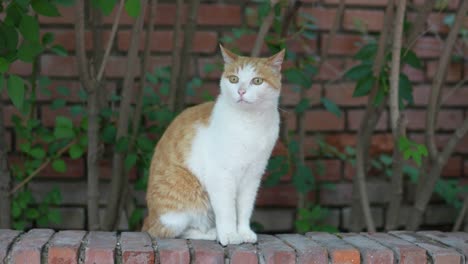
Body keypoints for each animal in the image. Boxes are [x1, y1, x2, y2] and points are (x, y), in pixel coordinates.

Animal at [141, 44, 284, 244]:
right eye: (234, 79)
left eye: (257, 81)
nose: (241, 91)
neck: (249, 124)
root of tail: (149, 218)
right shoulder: (221, 176)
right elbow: (227, 211)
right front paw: (230, 235)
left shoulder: (252, 177)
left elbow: (244, 209)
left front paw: (244, 232)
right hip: (182, 203)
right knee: (171, 232)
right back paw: (212, 233)